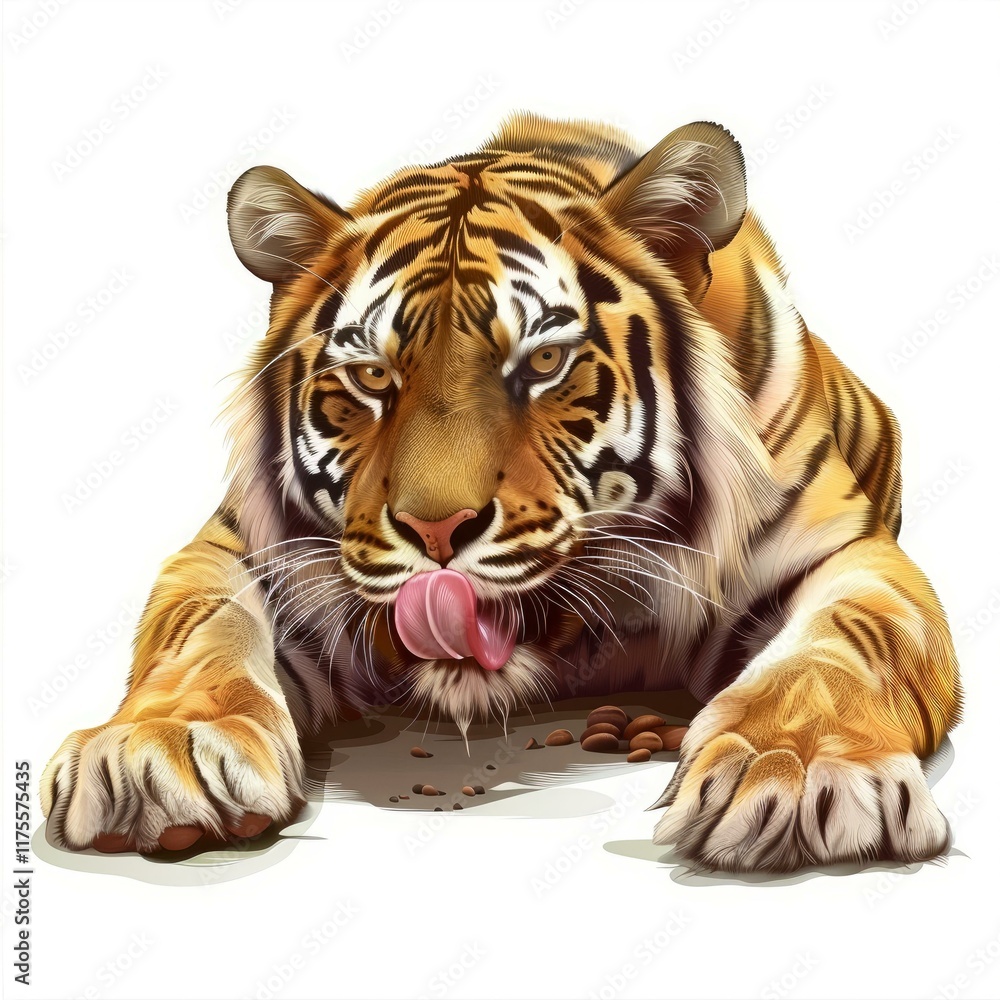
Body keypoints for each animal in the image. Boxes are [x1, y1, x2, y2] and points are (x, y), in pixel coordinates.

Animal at [41, 113, 961, 873]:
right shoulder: (241, 548)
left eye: (545, 363)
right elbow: (199, 626)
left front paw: (797, 772)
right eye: (372, 377)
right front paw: (160, 749)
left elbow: (840, 645)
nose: (435, 531)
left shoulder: (849, 555)